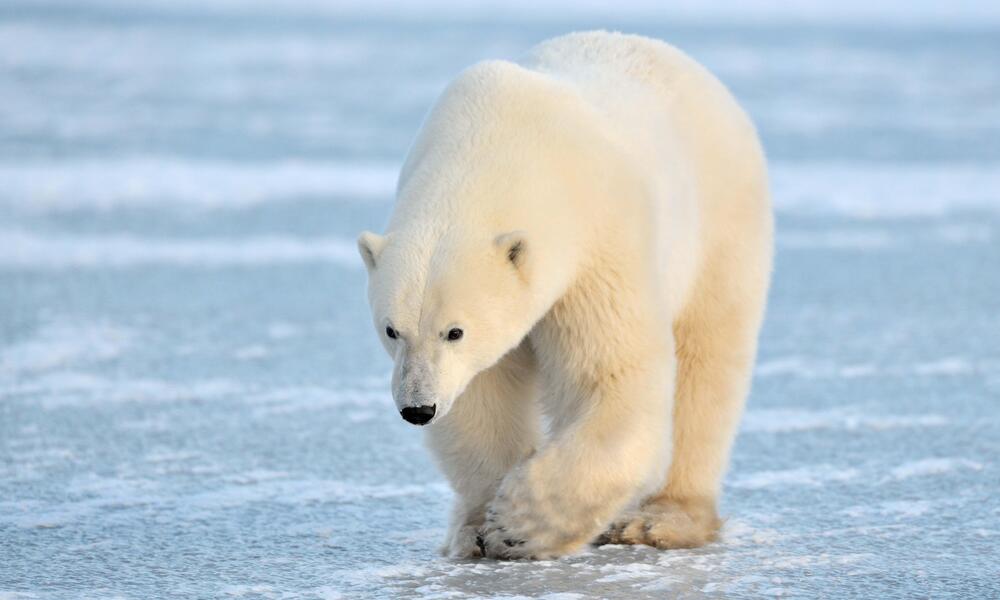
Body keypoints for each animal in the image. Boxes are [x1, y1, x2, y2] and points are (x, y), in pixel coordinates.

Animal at [360, 31, 772, 556]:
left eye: (455, 331)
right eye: (391, 330)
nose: (417, 408)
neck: (499, 143)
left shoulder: (597, 244)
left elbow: (612, 377)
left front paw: (518, 522)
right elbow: (480, 395)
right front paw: (481, 527)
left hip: (720, 227)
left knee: (707, 365)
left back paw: (661, 519)